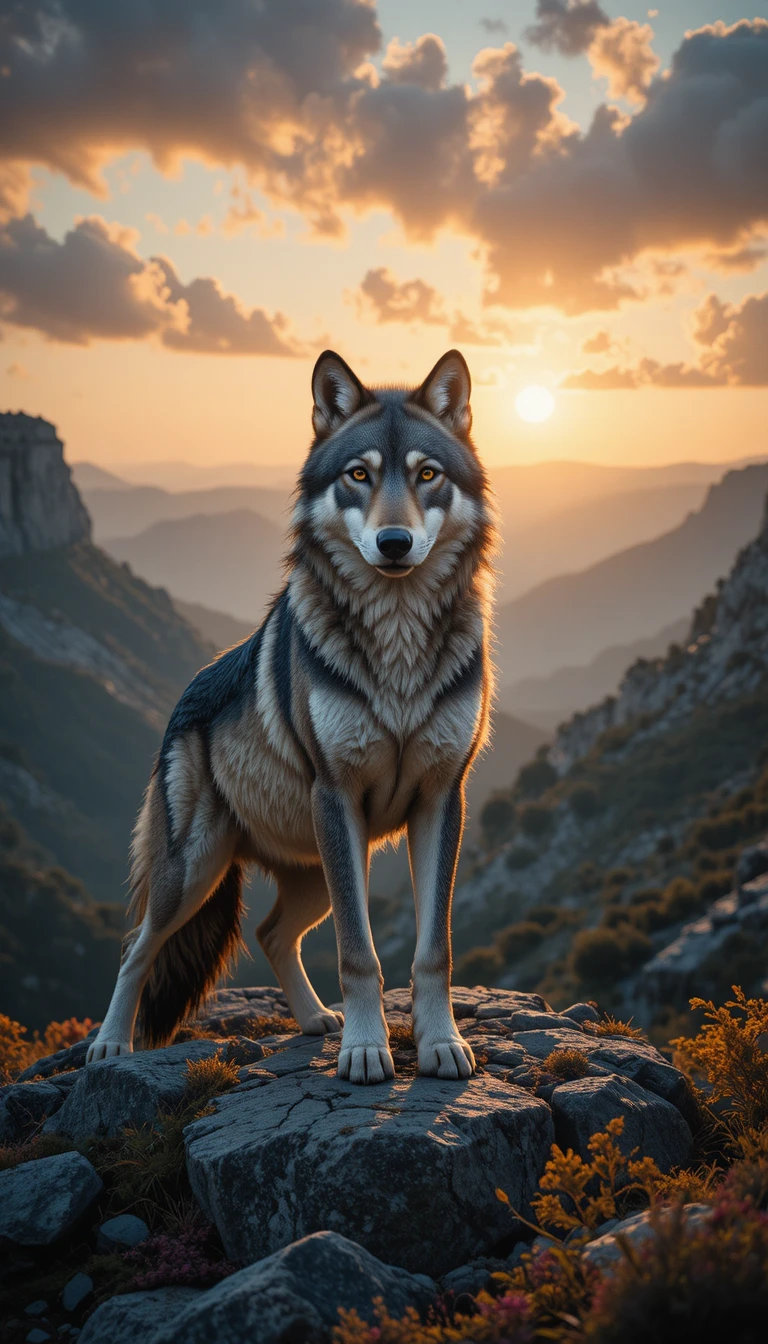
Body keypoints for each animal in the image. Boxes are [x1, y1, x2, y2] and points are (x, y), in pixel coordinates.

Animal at [87, 348, 496, 1084]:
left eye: (427, 474)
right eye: (359, 474)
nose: (395, 542)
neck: (397, 642)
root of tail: (180, 703)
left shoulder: (441, 799)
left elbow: (434, 949)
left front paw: (442, 1044)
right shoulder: (338, 796)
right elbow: (359, 953)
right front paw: (365, 1051)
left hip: (321, 872)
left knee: (272, 934)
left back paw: (313, 1020)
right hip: (199, 870)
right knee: (137, 945)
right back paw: (109, 1045)